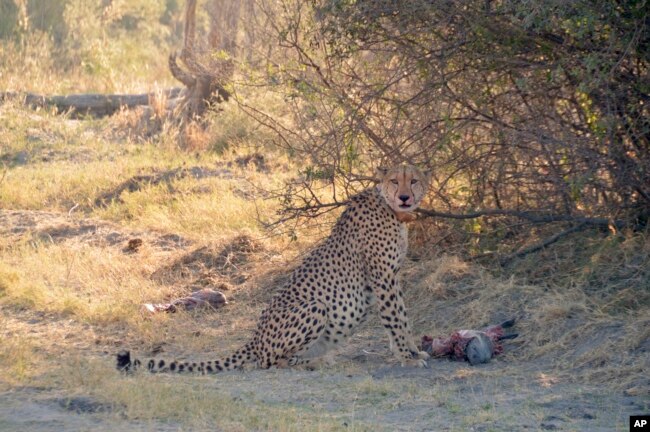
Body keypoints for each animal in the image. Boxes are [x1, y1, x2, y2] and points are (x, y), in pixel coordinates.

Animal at [116, 164, 430, 372]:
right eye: (394, 181)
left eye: (413, 180)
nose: (404, 197)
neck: (389, 208)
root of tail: (255, 338)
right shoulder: (383, 278)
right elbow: (396, 318)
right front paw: (408, 356)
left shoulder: (391, 278)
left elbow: (401, 317)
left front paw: (411, 352)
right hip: (315, 306)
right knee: (271, 361)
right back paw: (316, 360)